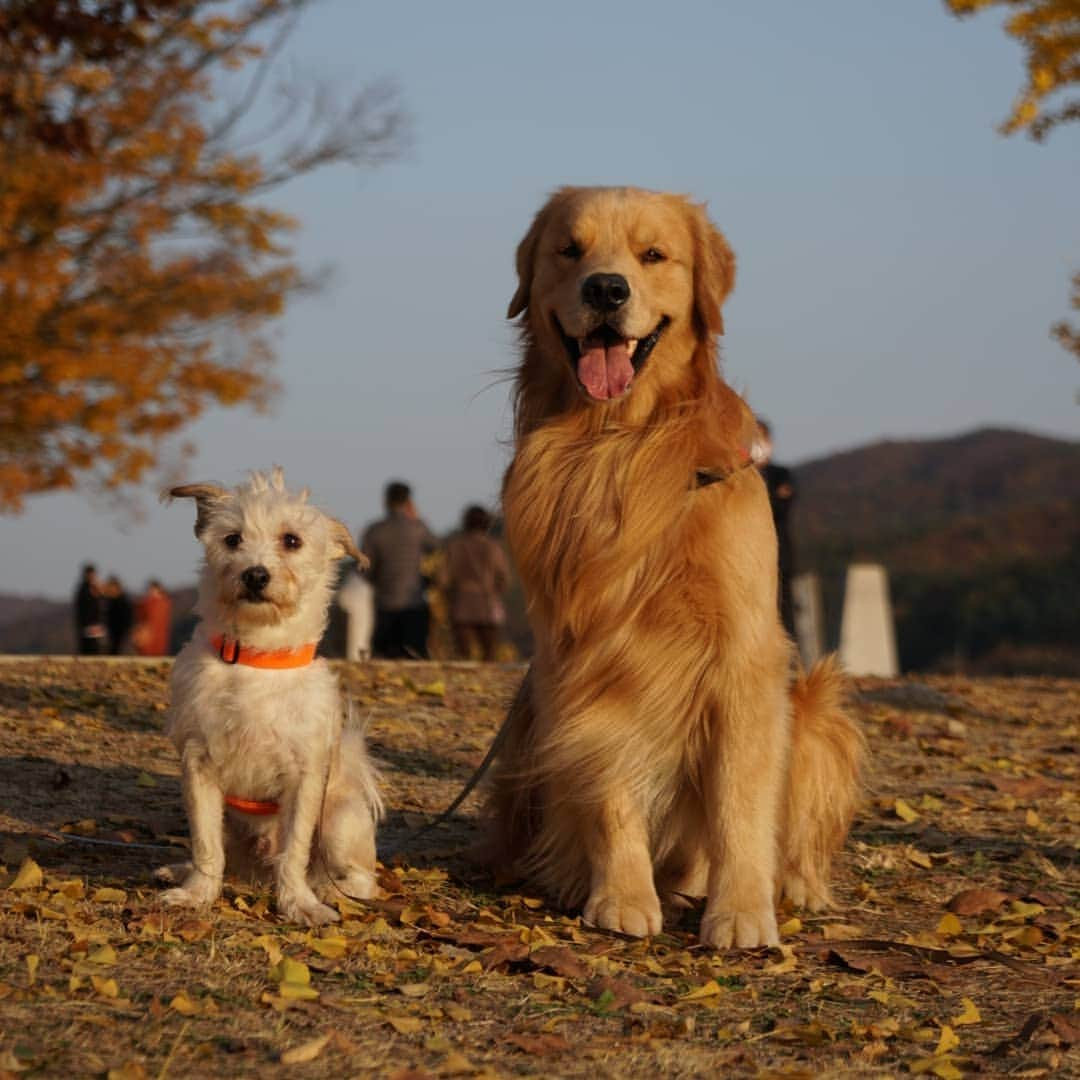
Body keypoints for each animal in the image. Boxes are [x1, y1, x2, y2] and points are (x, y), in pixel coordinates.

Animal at [157, 468, 380, 924]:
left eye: (291, 540)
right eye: (232, 539)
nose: (255, 575)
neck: (256, 658)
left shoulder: (304, 778)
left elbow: (293, 852)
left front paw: (298, 903)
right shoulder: (199, 766)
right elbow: (206, 845)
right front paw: (197, 895)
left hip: (339, 819)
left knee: (362, 879)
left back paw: (328, 890)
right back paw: (182, 870)